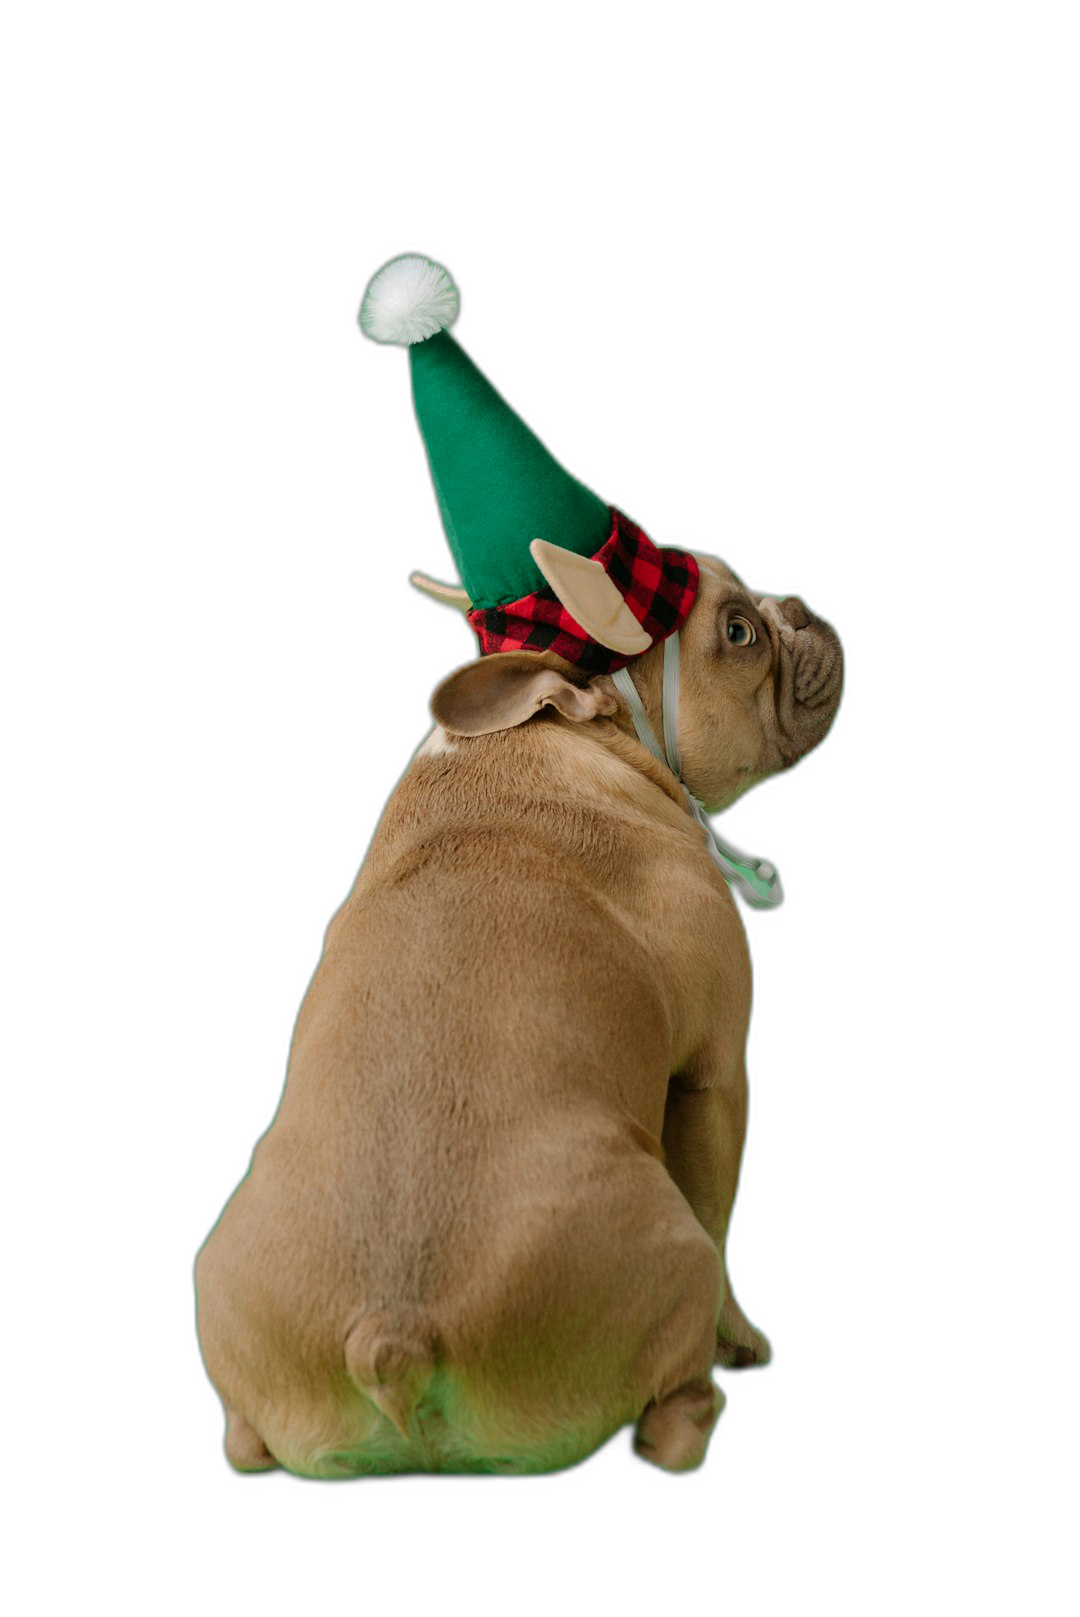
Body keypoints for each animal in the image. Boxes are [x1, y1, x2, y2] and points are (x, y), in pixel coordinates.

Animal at [198, 556, 847, 1481]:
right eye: (738, 632)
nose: (793, 605)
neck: (552, 737)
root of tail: (394, 1334)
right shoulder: (716, 1075)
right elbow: (720, 1214)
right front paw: (742, 1339)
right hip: (661, 1253)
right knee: (672, 1396)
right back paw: (698, 1403)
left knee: (245, 1436)